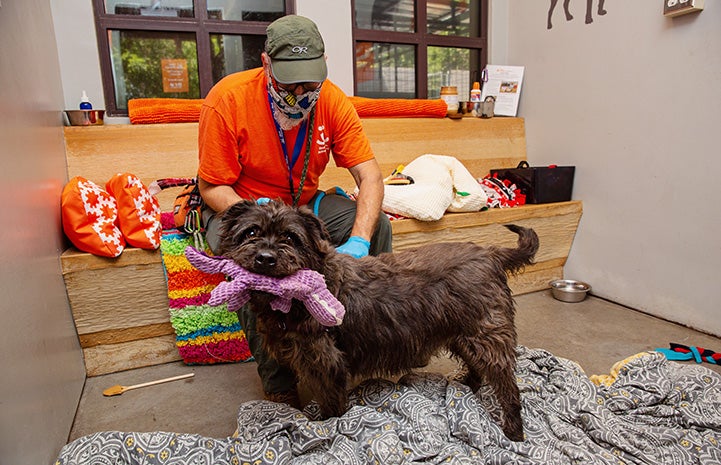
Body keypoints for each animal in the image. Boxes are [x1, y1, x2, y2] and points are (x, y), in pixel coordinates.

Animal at [217, 199, 536, 438]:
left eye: (290, 237)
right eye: (251, 233)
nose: (265, 258)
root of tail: (492, 254)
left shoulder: (327, 363)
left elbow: (332, 404)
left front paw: (327, 429)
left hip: (486, 336)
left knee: (508, 386)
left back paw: (513, 431)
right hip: (461, 332)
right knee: (477, 367)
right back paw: (466, 385)